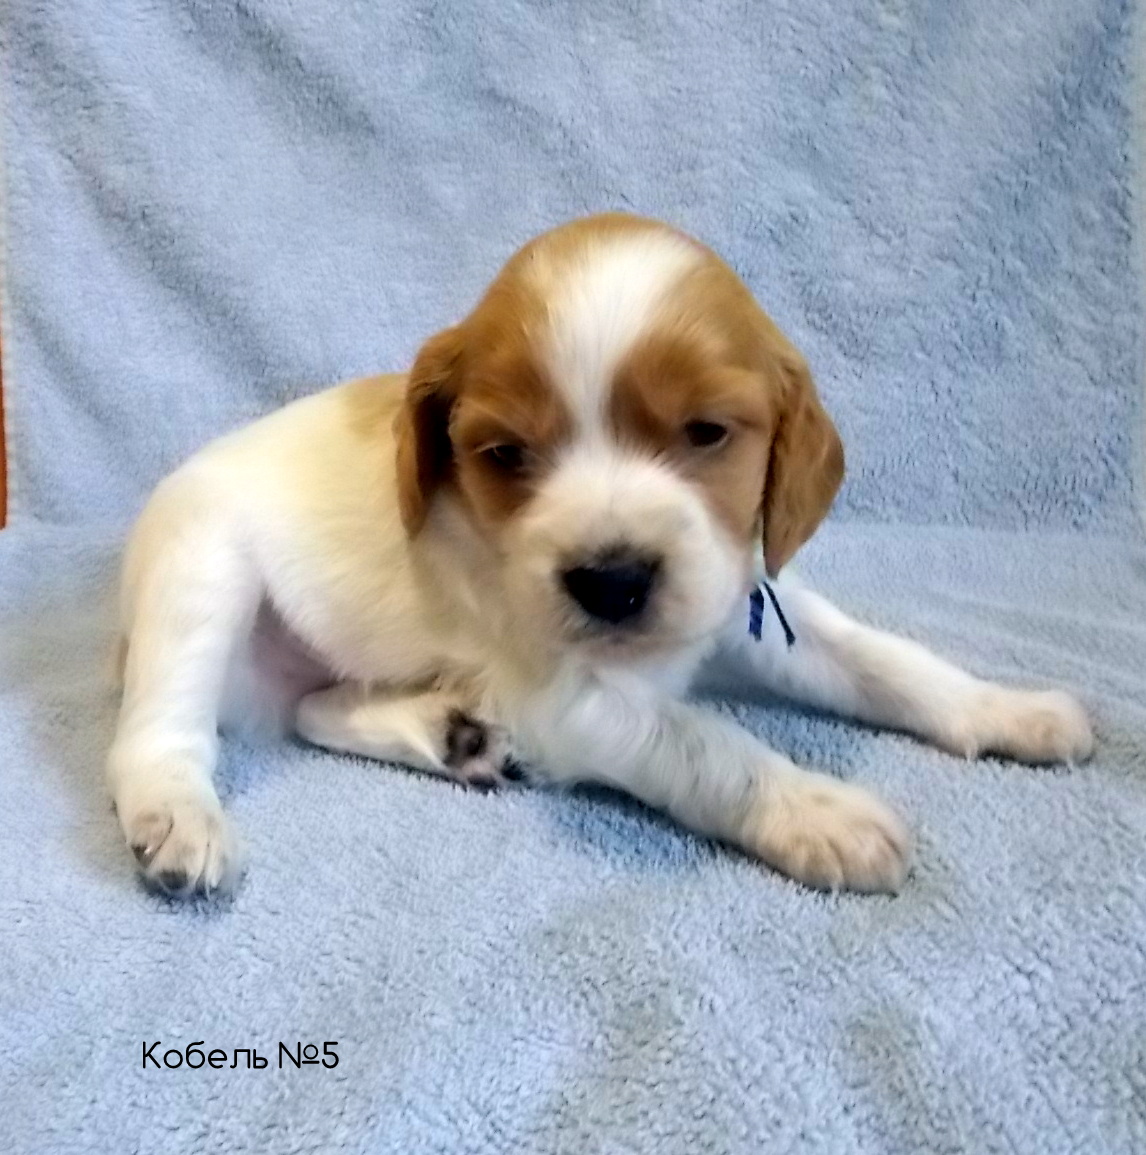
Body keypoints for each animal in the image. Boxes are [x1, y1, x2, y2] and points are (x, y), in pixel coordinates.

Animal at [108, 213, 1093, 898]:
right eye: (505, 454)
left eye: (705, 432)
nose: (612, 581)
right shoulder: (575, 701)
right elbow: (711, 743)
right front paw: (819, 811)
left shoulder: (746, 600)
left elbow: (888, 661)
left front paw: (1008, 709)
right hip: (201, 574)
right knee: (156, 734)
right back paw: (179, 816)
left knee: (315, 708)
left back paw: (453, 733)